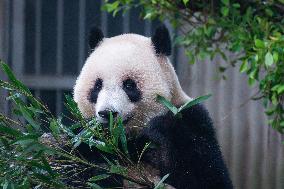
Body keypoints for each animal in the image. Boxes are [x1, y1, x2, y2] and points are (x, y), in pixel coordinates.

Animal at [73, 25, 233, 189]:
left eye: (129, 85)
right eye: (97, 86)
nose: (107, 113)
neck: (125, 140)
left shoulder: (193, 119)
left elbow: (208, 176)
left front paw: (158, 127)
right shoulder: (82, 136)